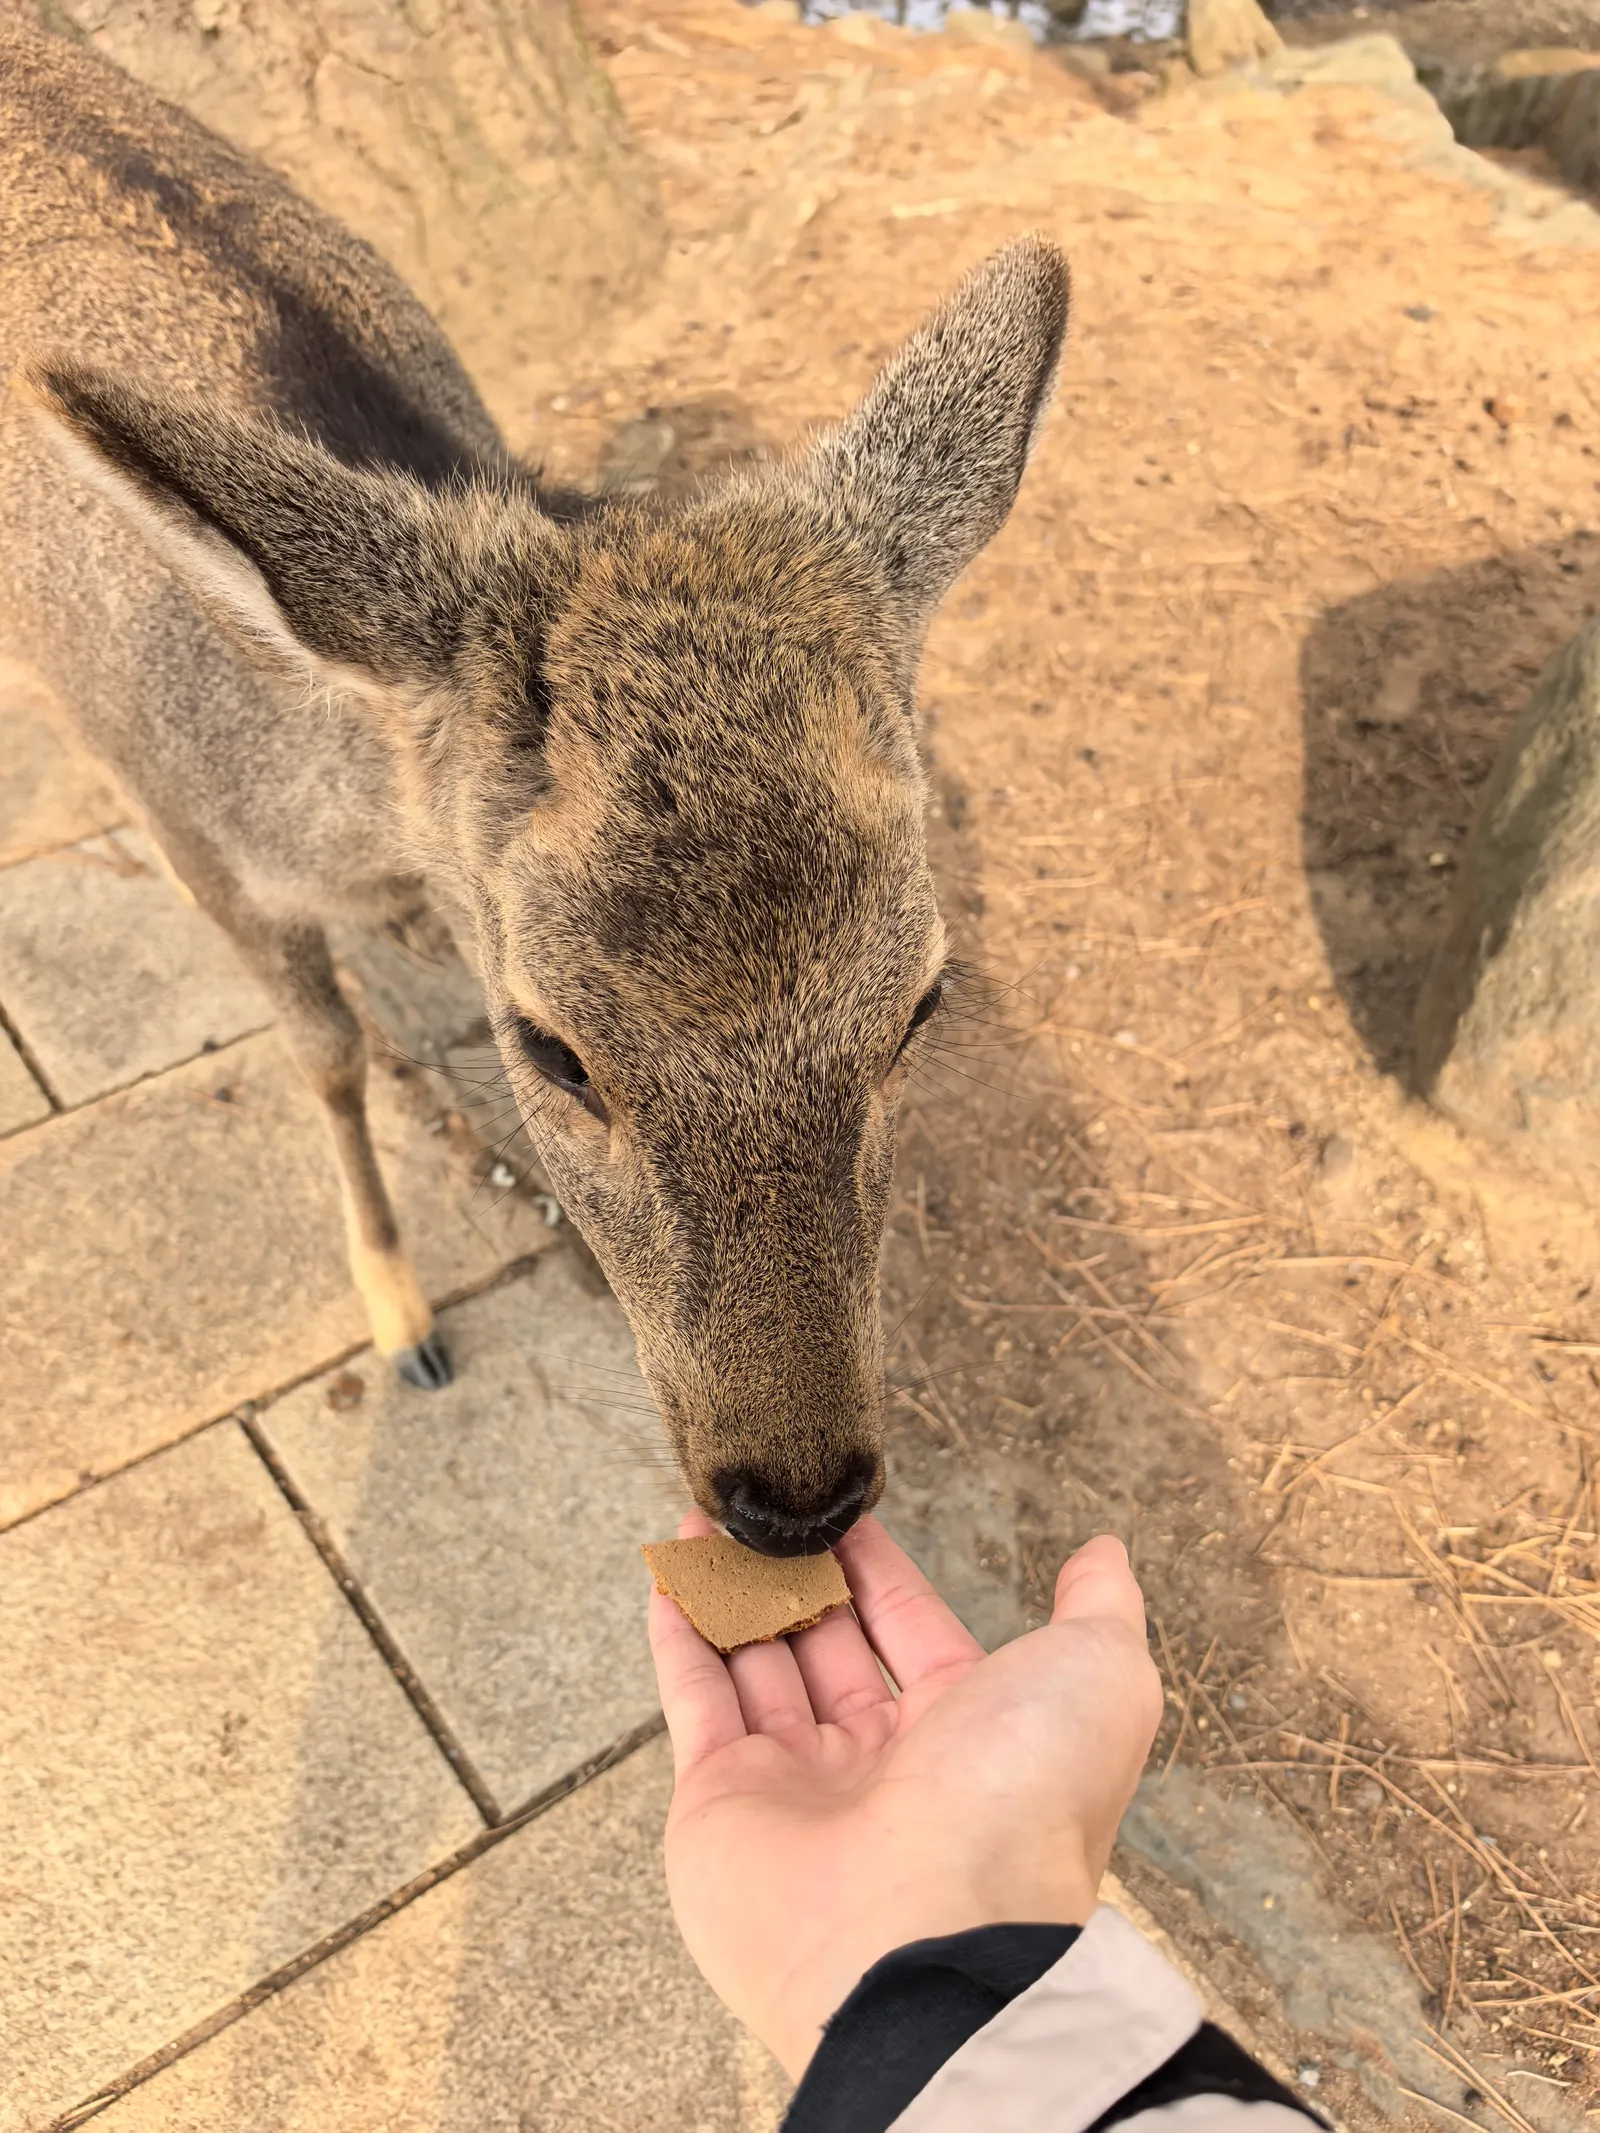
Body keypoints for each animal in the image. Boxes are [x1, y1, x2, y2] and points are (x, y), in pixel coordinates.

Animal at [1, 22, 1068, 1557]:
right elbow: (325, 1053)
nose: (798, 1497)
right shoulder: (176, 816)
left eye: (922, 1002)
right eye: (549, 1049)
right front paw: (403, 1323)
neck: (331, 804)